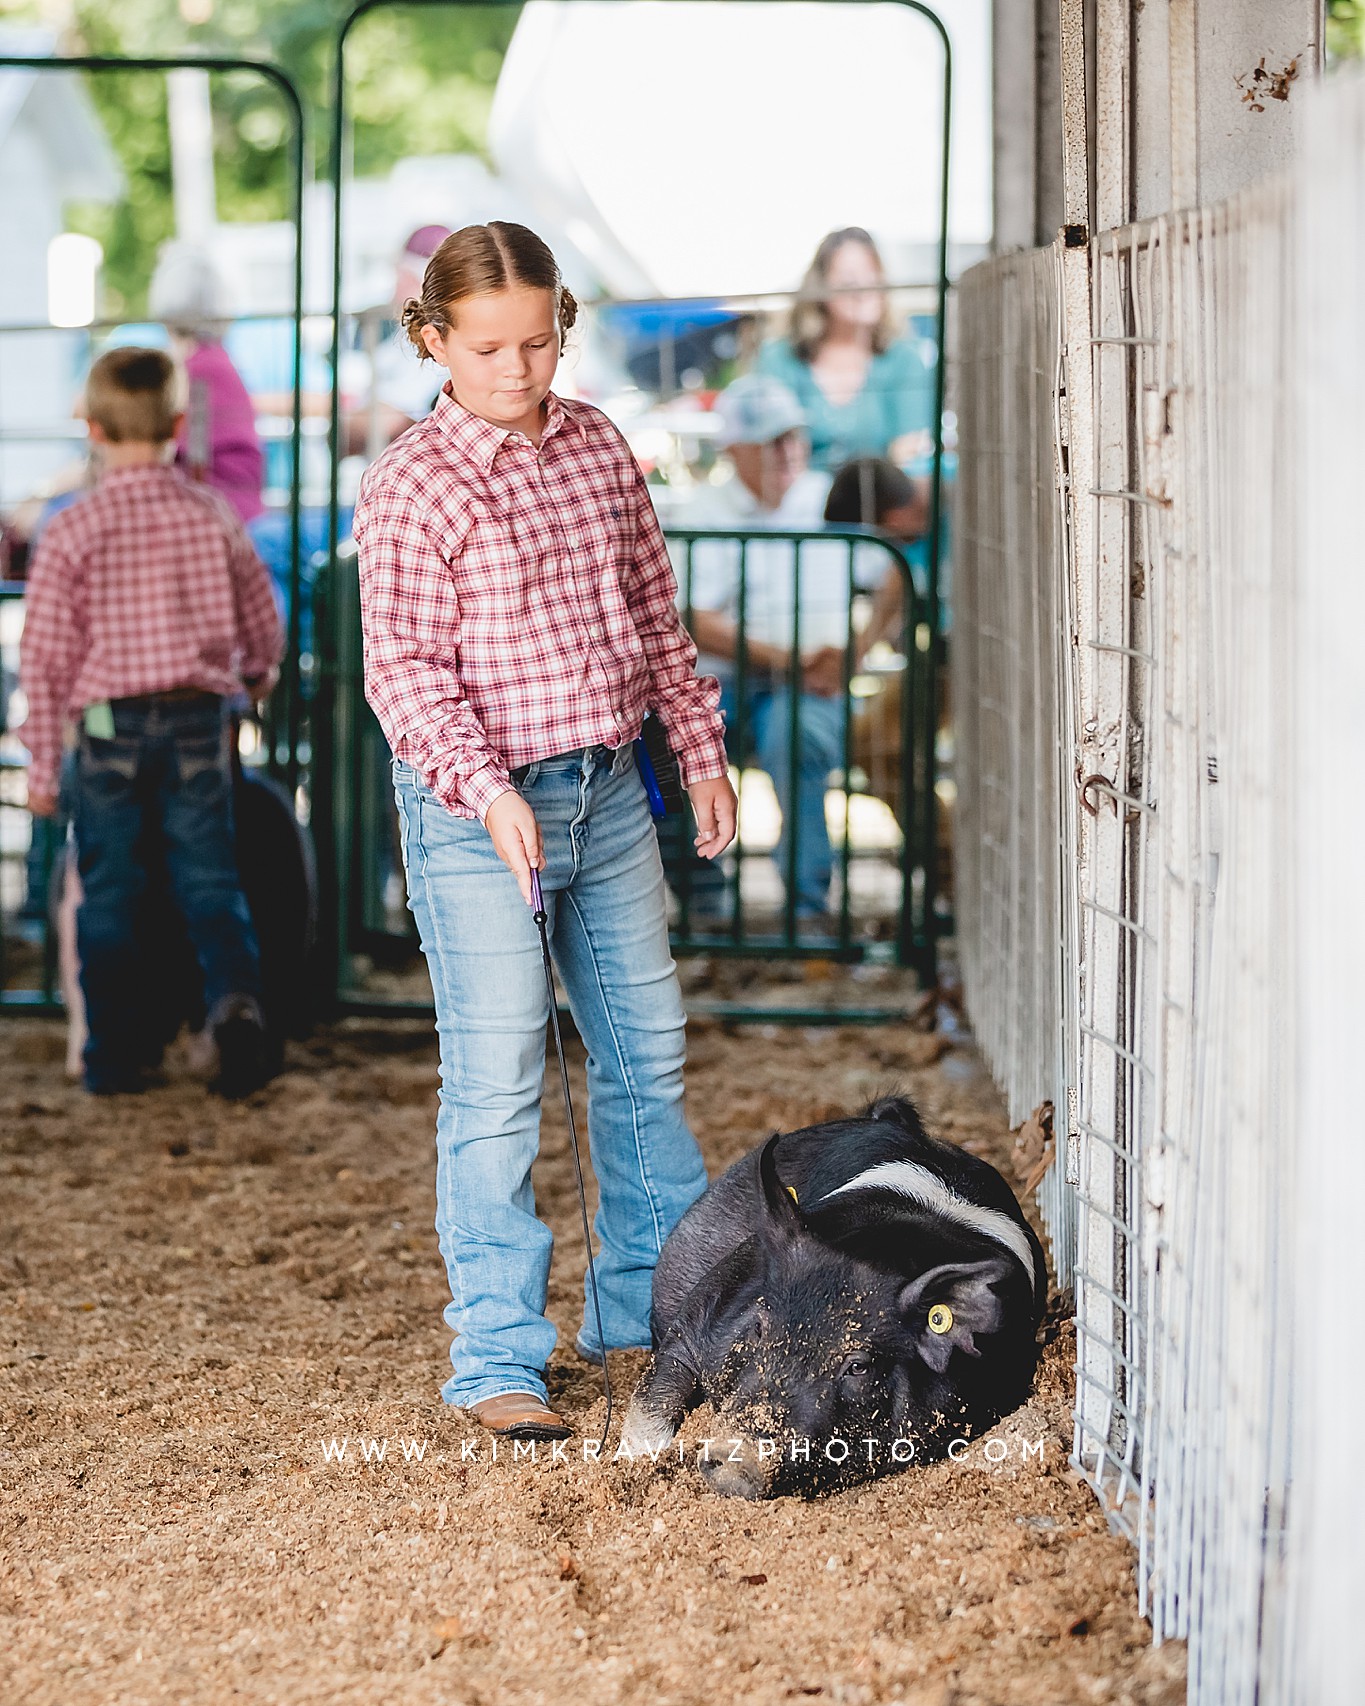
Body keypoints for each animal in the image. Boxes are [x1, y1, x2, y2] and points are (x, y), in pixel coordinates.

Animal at [617, 1098, 1044, 1501]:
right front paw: (633, 1460)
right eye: (759, 1328)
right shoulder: (700, 1317)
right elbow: (655, 1393)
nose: (737, 1456)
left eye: (858, 1366)